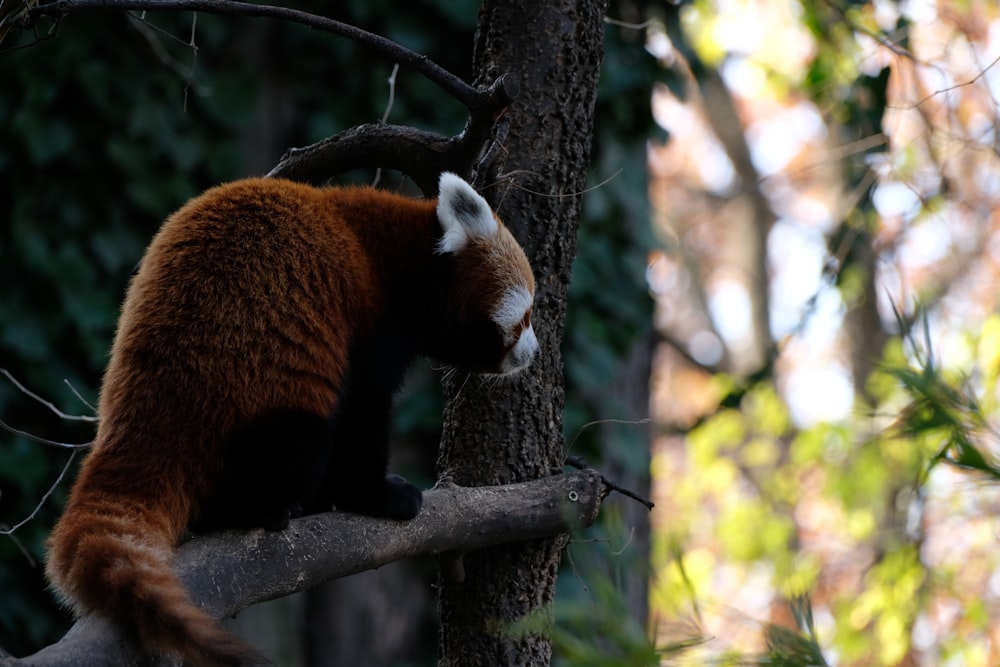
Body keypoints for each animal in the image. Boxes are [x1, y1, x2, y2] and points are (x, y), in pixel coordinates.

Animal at [45, 174, 540, 667]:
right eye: (525, 317)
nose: (534, 354)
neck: (403, 259)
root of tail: (140, 415)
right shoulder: (371, 325)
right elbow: (363, 411)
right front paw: (378, 495)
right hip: (256, 396)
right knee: (300, 439)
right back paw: (262, 509)